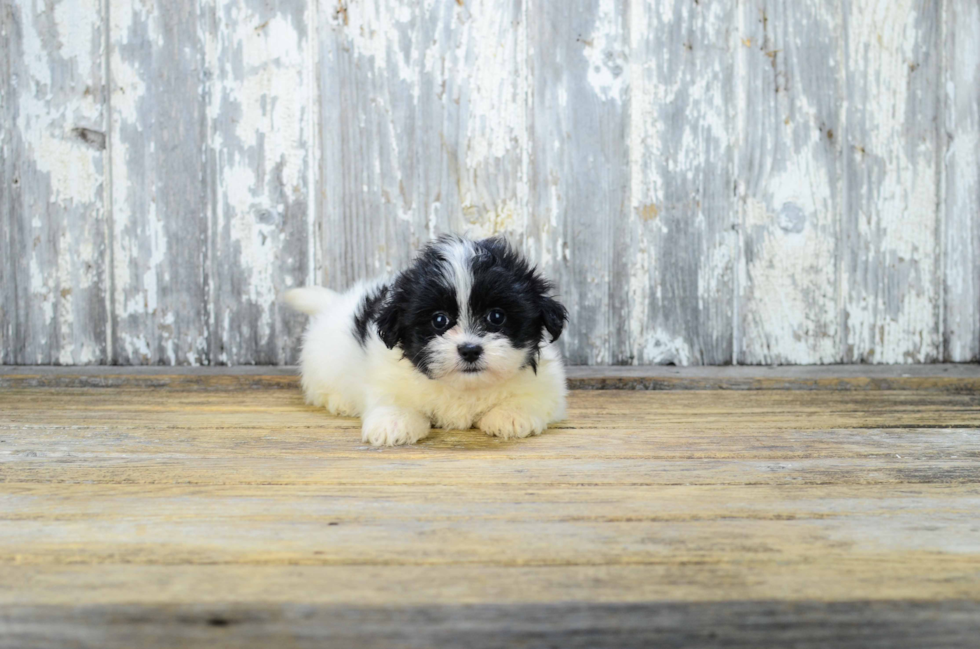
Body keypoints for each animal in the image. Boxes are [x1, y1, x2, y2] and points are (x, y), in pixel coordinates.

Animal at [284, 234, 568, 446]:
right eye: (439, 320)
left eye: (496, 316)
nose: (470, 350)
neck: (464, 388)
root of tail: (334, 302)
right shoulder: (386, 374)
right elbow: (392, 398)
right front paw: (394, 422)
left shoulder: (547, 384)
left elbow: (534, 396)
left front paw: (511, 415)